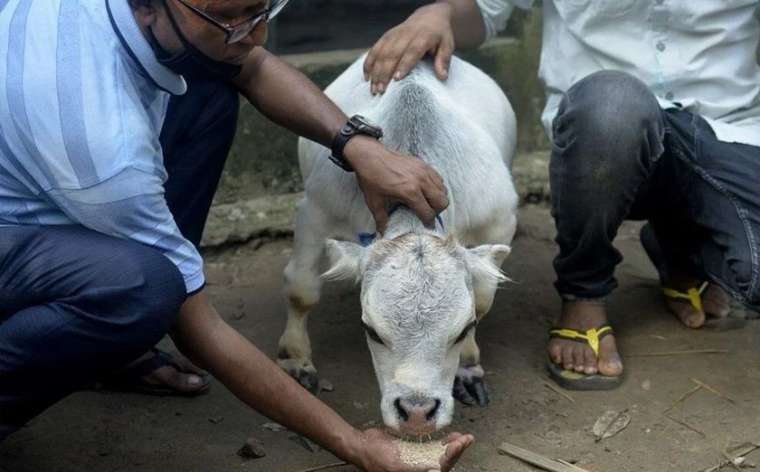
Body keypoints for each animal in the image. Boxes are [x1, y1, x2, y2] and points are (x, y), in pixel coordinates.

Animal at [276, 54, 520, 436]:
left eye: (461, 330)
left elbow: (481, 299)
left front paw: (468, 365)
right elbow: (301, 289)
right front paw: (296, 359)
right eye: (371, 331)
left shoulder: (499, 222)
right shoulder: (316, 211)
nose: (417, 411)